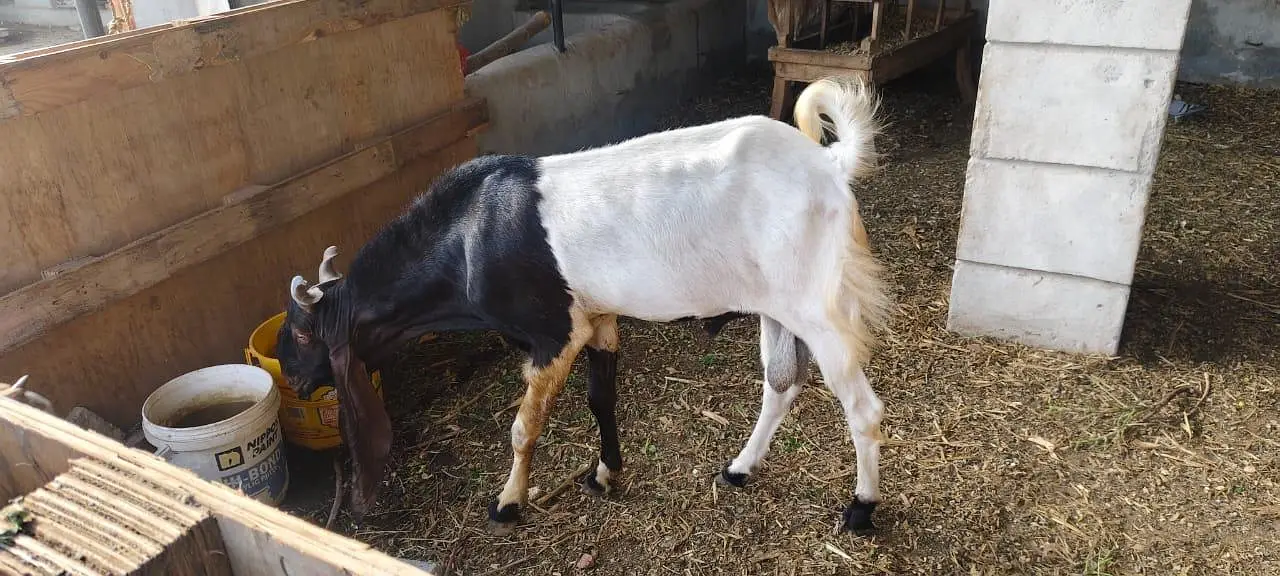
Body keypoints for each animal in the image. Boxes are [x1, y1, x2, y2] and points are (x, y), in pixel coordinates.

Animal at [276, 75, 891, 535]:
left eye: (305, 335)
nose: (294, 380)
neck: (471, 235)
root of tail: (829, 165)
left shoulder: (553, 333)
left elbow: (524, 426)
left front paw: (509, 502)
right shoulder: (596, 319)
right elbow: (601, 399)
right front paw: (605, 473)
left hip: (819, 306)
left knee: (863, 408)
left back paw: (860, 508)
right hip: (777, 308)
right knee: (781, 384)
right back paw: (739, 468)